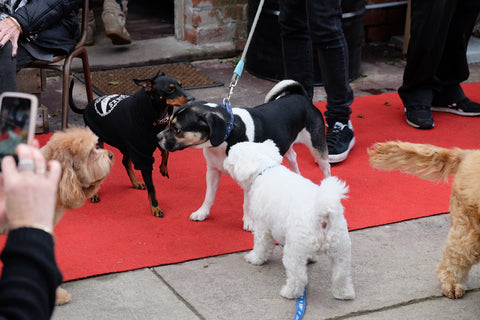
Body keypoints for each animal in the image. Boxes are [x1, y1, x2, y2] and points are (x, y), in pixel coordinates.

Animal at [223, 140, 354, 300]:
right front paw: (311, 258)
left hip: (294, 252)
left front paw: (255, 258)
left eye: (230, 156)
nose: (223, 162)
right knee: (341, 275)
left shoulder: (262, 226)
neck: (265, 169)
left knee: (298, 277)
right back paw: (344, 293)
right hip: (341, 250)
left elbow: (261, 246)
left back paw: (289, 292)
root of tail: (322, 213)